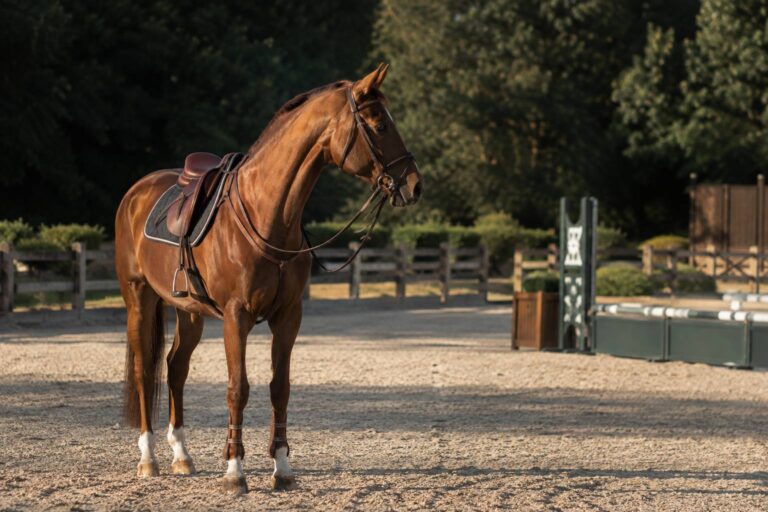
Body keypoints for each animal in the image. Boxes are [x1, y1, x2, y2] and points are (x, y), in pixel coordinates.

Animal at [114, 64, 422, 493]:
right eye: (378, 124)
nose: (414, 185)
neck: (266, 213)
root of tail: (136, 193)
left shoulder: (288, 316)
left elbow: (280, 388)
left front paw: (282, 467)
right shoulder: (236, 316)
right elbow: (238, 389)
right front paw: (234, 471)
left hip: (188, 311)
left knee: (176, 367)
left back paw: (182, 456)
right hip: (139, 298)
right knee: (146, 369)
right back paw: (148, 458)